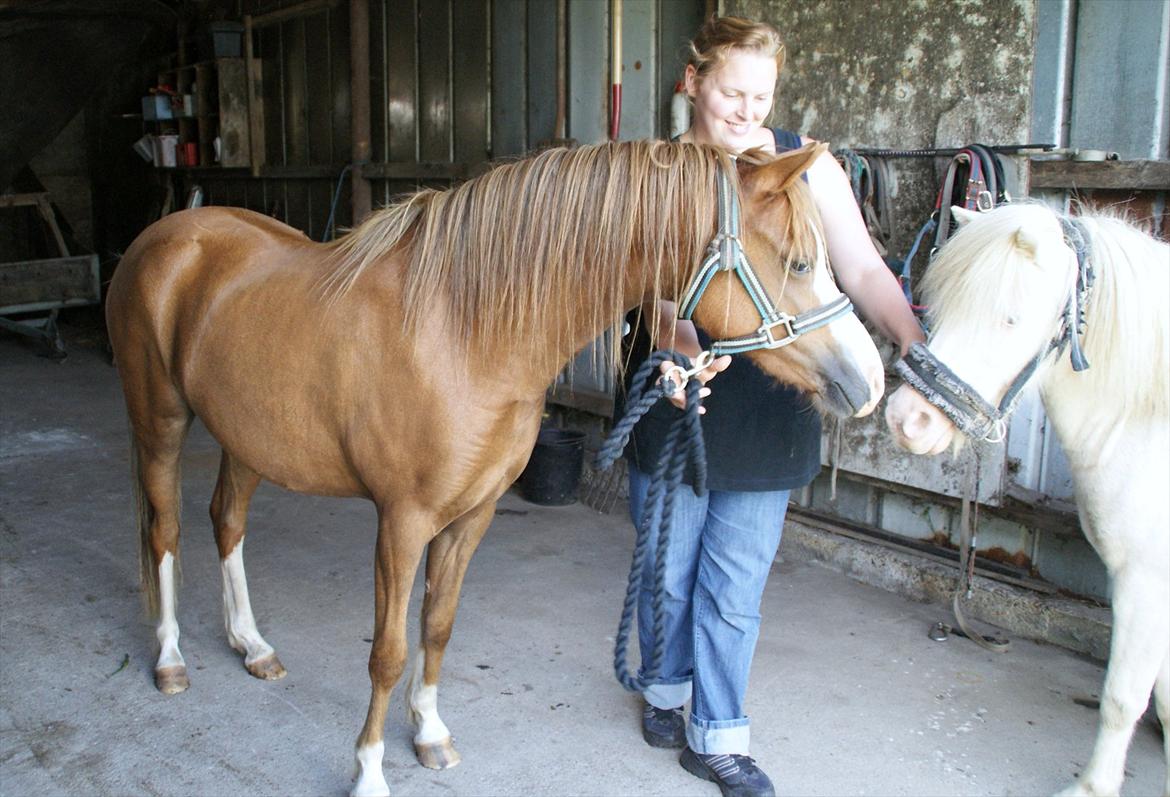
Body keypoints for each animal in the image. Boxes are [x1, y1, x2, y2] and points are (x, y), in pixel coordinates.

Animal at [105, 139, 885, 797]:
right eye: (798, 262)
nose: (869, 382)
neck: (463, 330)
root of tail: (164, 236)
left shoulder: (472, 515)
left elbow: (438, 627)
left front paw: (429, 734)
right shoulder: (403, 521)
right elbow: (389, 650)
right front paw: (368, 770)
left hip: (248, 439)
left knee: (226, 521)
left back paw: (253, 645)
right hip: (160, 423)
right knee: (165, 531)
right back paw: (170, 660)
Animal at [885, 202, 1169, 797]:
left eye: (1011, 319)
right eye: (941, 306)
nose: (907, 421)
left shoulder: (1147, 577)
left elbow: (1126, 695)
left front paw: (1091, 787)